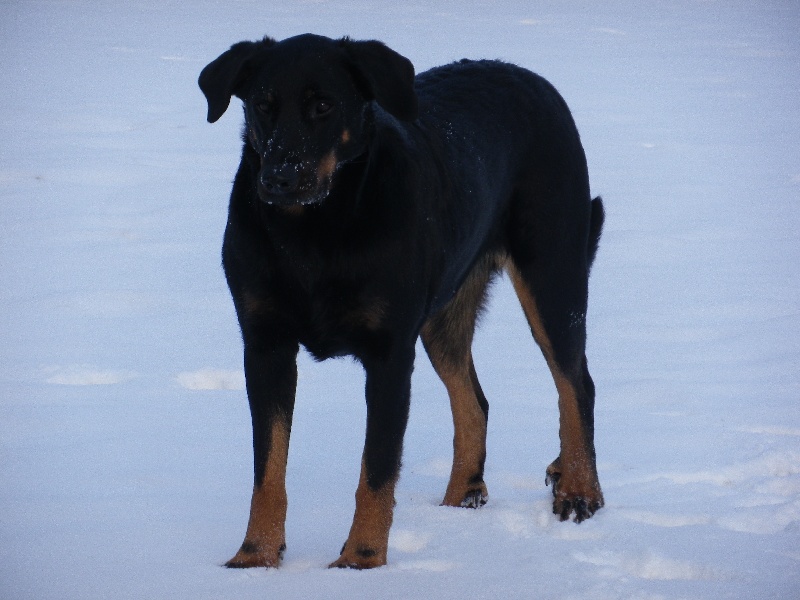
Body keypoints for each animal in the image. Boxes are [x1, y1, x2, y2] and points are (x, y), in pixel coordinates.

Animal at [199, 33, 605, 569]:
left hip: (552, 275)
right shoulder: (265, 345)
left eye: (324, 106)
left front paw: (361, 558)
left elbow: (376, 468)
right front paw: (255, 557)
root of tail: (533, 80)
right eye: (262, 105)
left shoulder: (389, 353)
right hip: (444, 313)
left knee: (575, 383)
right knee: (475, 400)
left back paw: (579, 489)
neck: (313, 234)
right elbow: (268, 468)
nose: (280, 177)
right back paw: (460, 500)